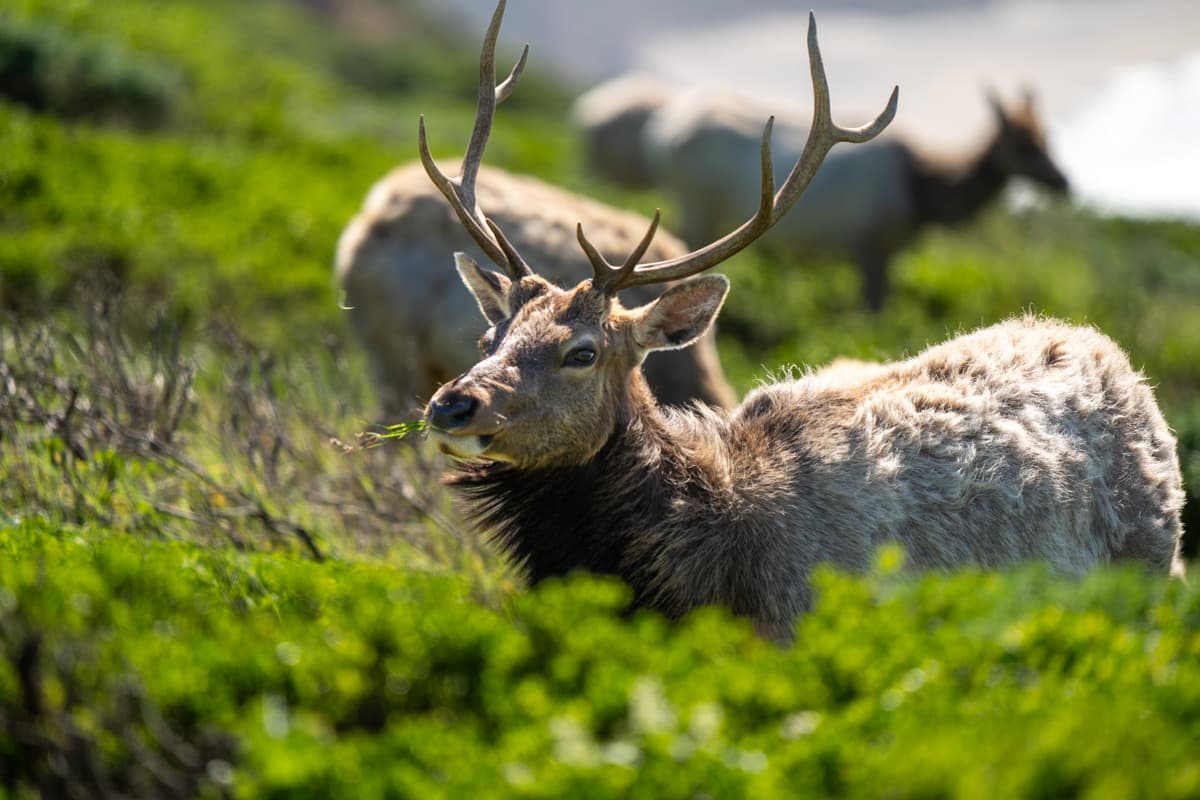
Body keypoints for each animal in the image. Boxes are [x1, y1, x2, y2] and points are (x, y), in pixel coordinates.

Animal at [633, 83, 1070, 311]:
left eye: (1047, 135)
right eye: (1023, 143)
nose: (1063, 181)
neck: (922, 195)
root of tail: (661, 132)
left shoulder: (888, 249)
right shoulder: (868, 242)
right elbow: (873, 312)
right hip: (695, 202)